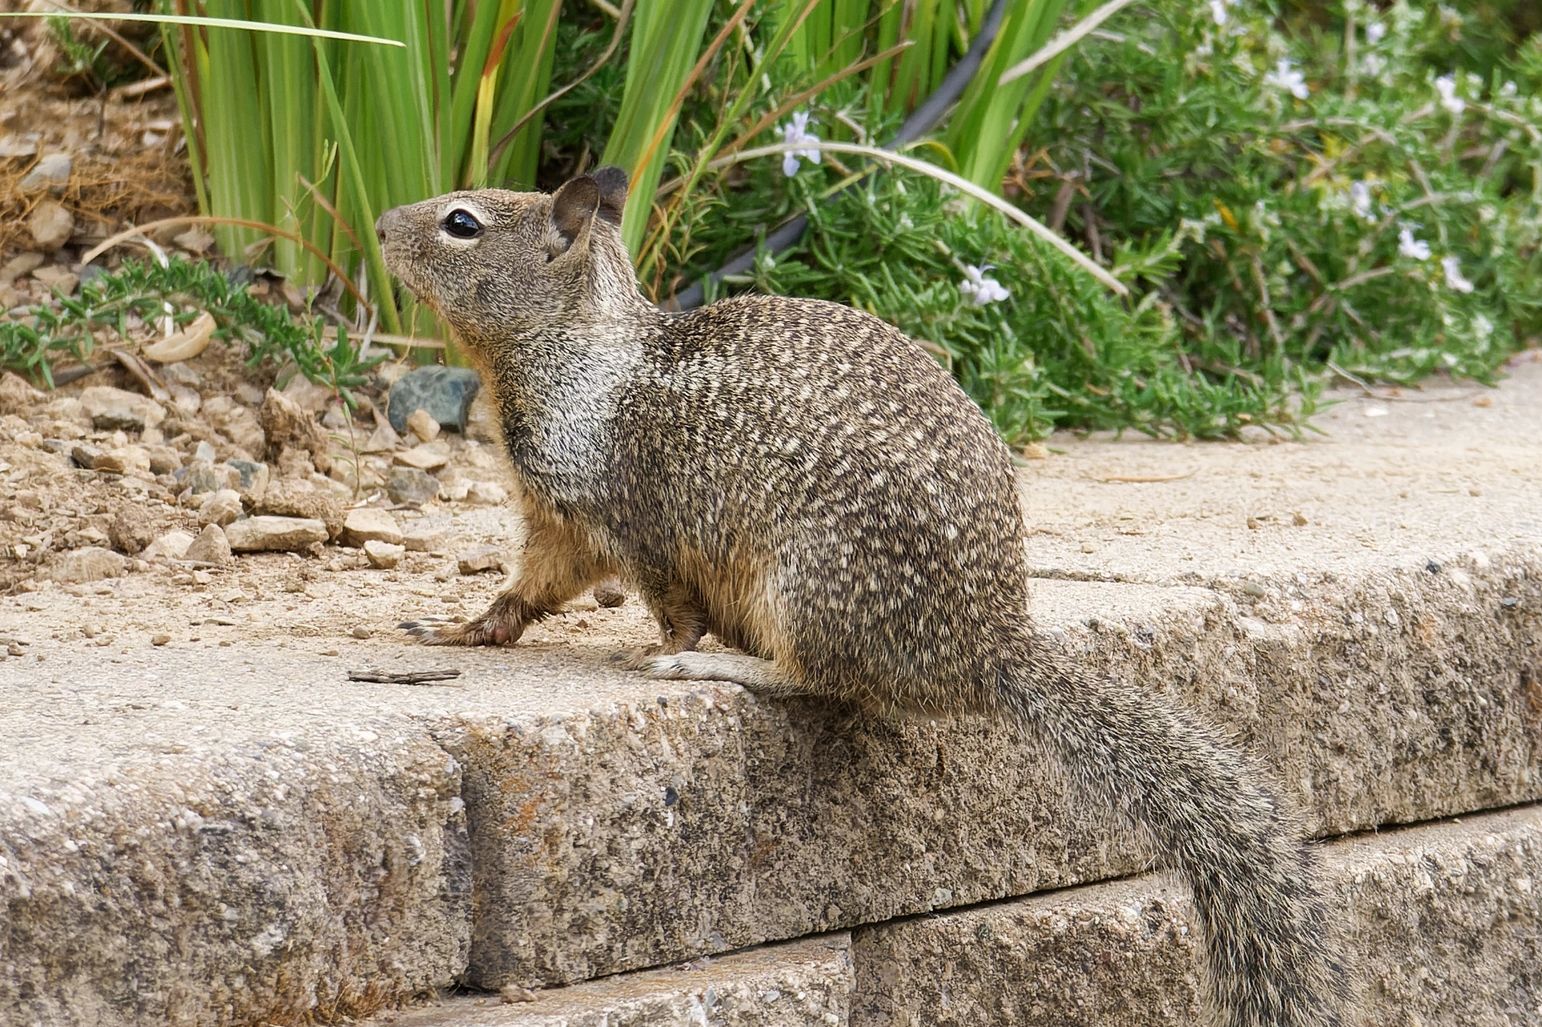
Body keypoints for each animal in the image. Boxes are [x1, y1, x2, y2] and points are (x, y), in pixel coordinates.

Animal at [376, 167, 1347, 1026]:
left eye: (461, 223)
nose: (380, 224)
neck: (580, 357)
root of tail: (991, 646)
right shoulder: (559, 521)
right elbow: (524, 592)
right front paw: (454, 629)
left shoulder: (626, 522)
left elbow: (668, 603)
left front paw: (667, 647)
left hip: (804, 585)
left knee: (822, 680)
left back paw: (719, 667)